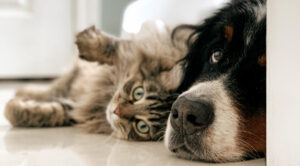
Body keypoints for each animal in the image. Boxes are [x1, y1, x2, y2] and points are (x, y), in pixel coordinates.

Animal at [4, 22, 190, 141]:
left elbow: (52, 112)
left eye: (142, 126)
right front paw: (88, 41)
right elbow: (114, 47)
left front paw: (11, 109)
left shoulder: (78, 109)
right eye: (138, 93)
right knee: (53, 87)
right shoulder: (139, 50)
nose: (116, 111)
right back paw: (24, 90)